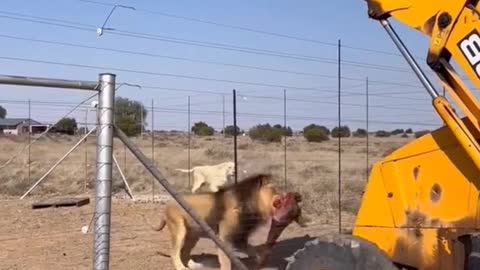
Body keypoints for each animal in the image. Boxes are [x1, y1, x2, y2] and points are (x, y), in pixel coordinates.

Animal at [152, 173, 306, 270]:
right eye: (275, 190)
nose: (297, 196)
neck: (252, 206)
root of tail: (168, 204)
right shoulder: (224, 237)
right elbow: (226, 260)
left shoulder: (240, 236)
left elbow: (252, 251)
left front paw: (259, 261)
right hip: (179, 230)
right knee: (175, 252)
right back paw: (181, 267)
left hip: (193, 235)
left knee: (184, 252)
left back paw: (194, 265)